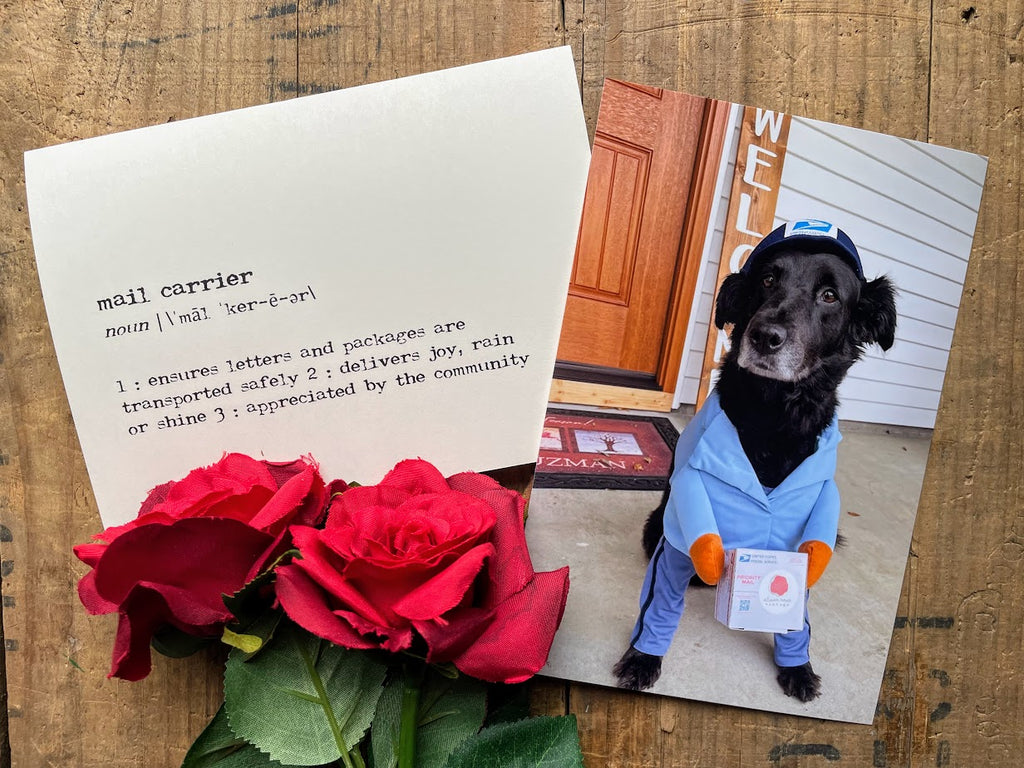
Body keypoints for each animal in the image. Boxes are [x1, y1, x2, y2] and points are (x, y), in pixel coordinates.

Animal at [614, 224, 897, 704]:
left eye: (829, 295)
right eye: (767, 279)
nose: (765, 336)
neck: (774, 417)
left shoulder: (802, 547)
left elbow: (797, 613)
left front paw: (797, 666)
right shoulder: (681, 535)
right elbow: (660, 607)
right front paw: (642, 658)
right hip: (657, 526)